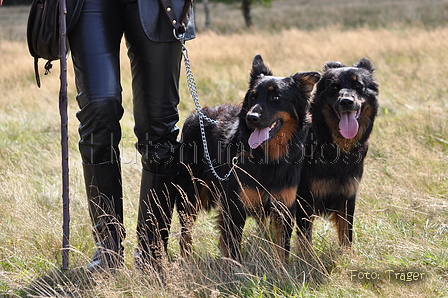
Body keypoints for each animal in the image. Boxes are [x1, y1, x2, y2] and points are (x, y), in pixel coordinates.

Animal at [177, 54, 320, 262]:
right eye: (253, 96)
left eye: (276, 97)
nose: (251, 117)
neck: (267, 158)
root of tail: (197, 113)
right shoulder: (235, 207)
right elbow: (234, 249)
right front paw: (235, 268)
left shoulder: (284, 208)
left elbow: (282, 250)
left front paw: (282, 269)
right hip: (190, 193)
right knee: (185, 231)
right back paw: (185, 259)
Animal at [298, 57, 378, 248]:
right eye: (334, 87)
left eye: (358, 85)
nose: (346, 102)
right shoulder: (304, 200)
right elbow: (305, 243)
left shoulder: (348, 198)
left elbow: (346, 236)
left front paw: (348, 255)